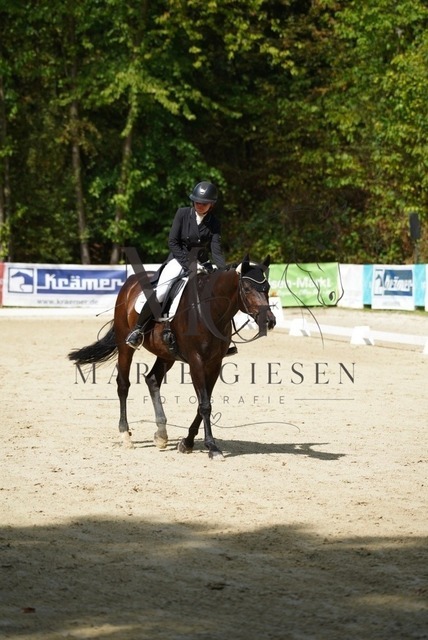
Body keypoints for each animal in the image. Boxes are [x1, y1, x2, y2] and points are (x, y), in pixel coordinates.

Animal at [68, 255, 276, 459]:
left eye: (267, 288)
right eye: (247, 289)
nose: (269, 321)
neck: (211, 310)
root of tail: (131, 282)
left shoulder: (215, 363)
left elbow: (203, 402)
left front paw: (187, 442)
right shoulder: (196, 361)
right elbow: (204, 404)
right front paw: (212, 447)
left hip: (166, 354)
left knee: (152, 379)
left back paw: (161, 434)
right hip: (125, 346)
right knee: (123, 384)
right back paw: (125, 435)